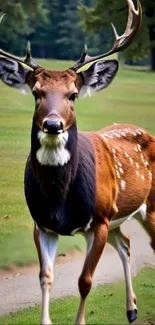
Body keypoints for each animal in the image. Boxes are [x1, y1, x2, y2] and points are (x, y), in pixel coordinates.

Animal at [0, 1, 154, 322]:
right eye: (36, 93)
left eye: (73, 95)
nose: (53, 124)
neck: (59, 198)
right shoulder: (41, 224)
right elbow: (45, 277)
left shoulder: (98, 220)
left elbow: (85, 280)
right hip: (117, 218)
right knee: (126, 244)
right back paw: (131, 309)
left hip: (145, 206)